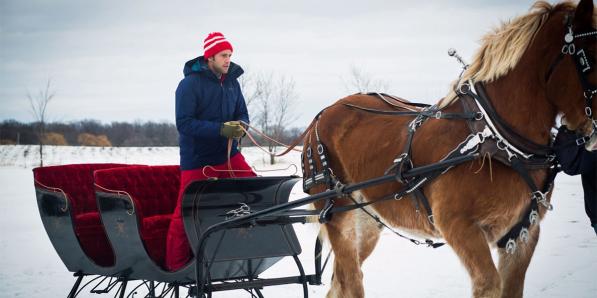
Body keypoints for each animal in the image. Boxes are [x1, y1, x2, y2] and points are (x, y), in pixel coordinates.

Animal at [302, 1, 596, 296]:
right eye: (590, 58)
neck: (493, 139)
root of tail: (321, 116)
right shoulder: (461, 228)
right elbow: (489, 284)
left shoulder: (522, 235)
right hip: (340, 219)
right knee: (351, 281)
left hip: (368, 224)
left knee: (339, 282)